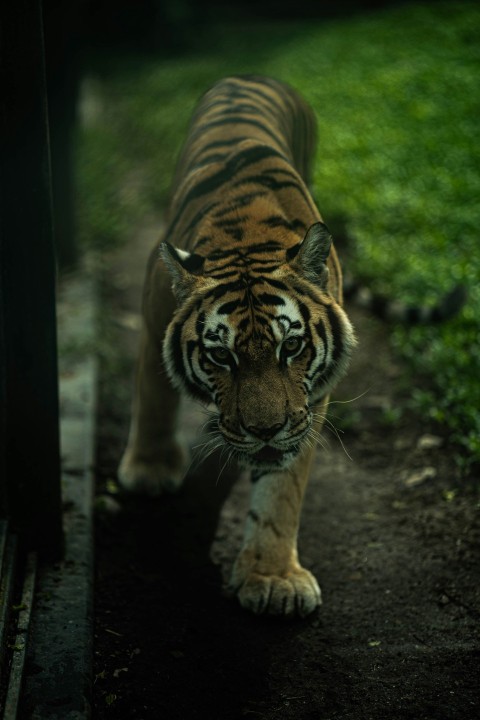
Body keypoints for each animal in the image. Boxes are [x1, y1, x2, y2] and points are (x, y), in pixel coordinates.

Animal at [117, 76, 356, 620]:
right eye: (220, 356)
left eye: (292, 346)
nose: (264, 431)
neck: (249, 238)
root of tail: (250, 76)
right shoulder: (154, 313)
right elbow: (153, 395)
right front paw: (148, 469)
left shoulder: (309, 401)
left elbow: (283, 487)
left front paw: (273, 578)